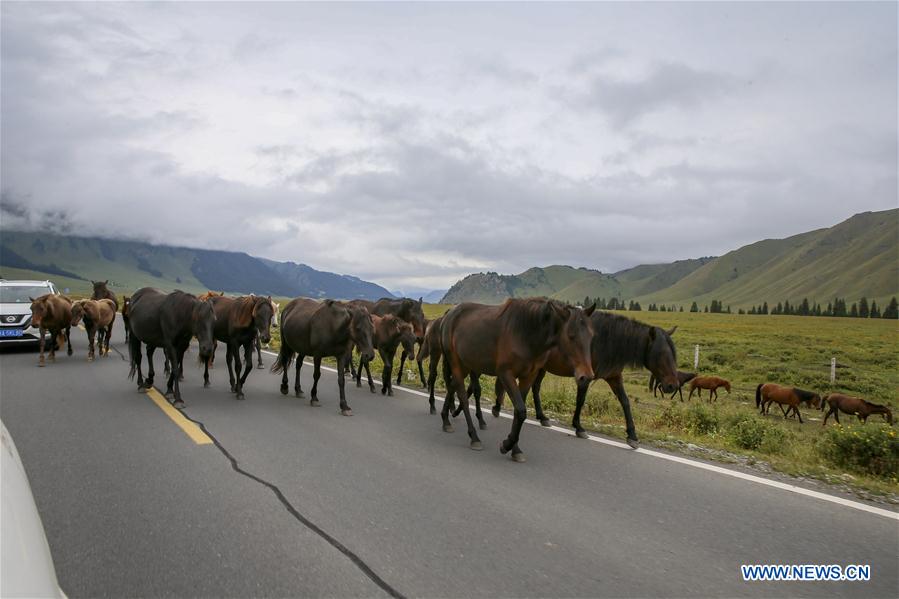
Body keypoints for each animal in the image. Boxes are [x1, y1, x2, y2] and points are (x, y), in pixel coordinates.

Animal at [440, 300, 596, 464]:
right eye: (571, 335)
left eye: (591, 336)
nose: (587, 376)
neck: (525, 334)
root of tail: (449, 315)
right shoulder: (506, 374)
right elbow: (521, 410)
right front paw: (506, 444)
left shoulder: (528, 377)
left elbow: (518, 413)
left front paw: (515, 450)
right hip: (456, 364)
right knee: (463, 397)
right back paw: (474, 437)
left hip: (466, 365)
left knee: (452, 386)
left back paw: (446, 419)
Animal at [496, 312, 680, 448]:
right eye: (662, 354)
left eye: (673, 353)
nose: (673, 385)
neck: (604, 340)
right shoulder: (585, 377)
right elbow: (581, 400)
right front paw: (579, 427)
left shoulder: (614, 377)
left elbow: (625, 402)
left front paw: (632, 436)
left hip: (541, 367)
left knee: (534, 387)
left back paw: (542, 417)